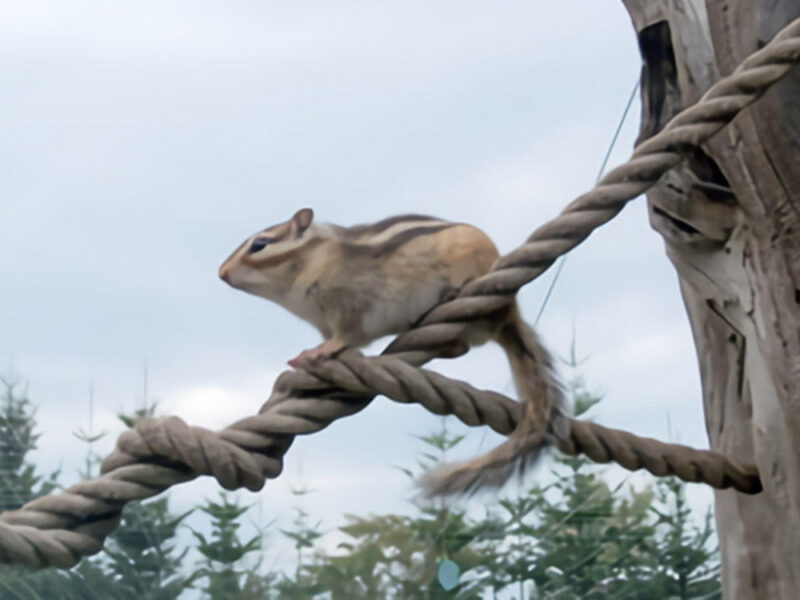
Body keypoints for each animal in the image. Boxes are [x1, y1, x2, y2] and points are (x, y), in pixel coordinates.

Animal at [219, 208, 563, 495]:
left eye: (260, 245)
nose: (221, 273)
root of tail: (510, 314)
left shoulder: (349, 311)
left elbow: (345, 337)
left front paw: (316, 354)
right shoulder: (324, 322)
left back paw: (454, 292)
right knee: (460, 347)